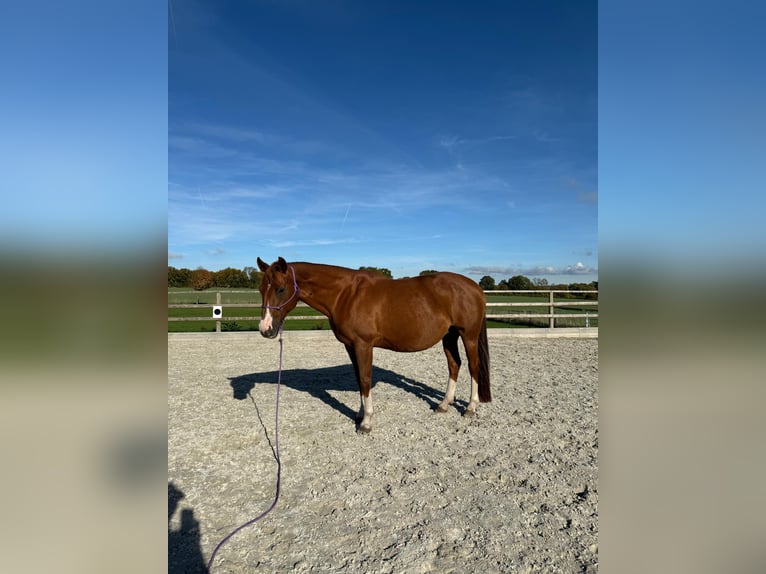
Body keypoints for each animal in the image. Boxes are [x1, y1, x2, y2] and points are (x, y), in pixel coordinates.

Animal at [256, 256, 491, 433]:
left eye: (280, 289)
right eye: (260, 289)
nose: (265, 328)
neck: (346, 294)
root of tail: (475, 288)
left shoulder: (363, 345)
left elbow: (366, 378)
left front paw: (366, 423)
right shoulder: (350, 346)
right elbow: (359, 378)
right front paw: (359, 414)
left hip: (468, 335)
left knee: (473, 366)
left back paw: (470, 407)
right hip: (449, 336)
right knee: (454, 364)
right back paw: (443, 405)